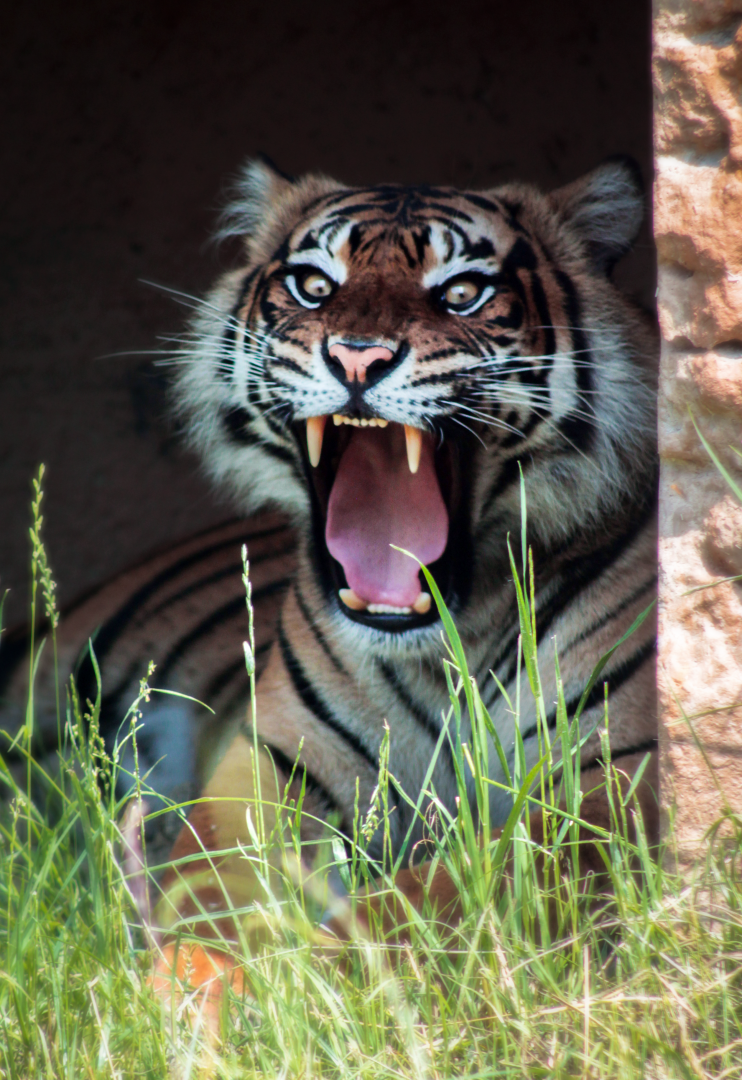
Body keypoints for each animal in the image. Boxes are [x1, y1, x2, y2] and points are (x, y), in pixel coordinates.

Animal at [0, 155, 659, 985]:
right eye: (314, 284)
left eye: (462, 292)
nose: (356, 357)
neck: (449, 643)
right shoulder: (266, 775)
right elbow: (210, 895)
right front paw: (195, 979)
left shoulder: (611, 789)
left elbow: (416, 904)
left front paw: (303, 979)